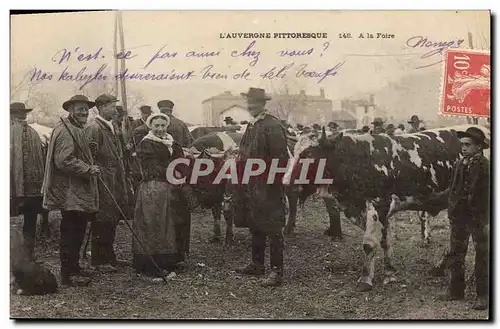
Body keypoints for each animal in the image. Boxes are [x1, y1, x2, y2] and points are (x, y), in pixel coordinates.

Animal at [288, 124, 490, 290]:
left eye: (308, 154)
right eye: (295, 151)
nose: (286, 181)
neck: (359, 158)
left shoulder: (377, 205)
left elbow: (369, 244)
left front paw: (365, 279)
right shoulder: (381, 211)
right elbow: (386, 241)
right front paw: (390, 272)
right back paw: (440, 267)